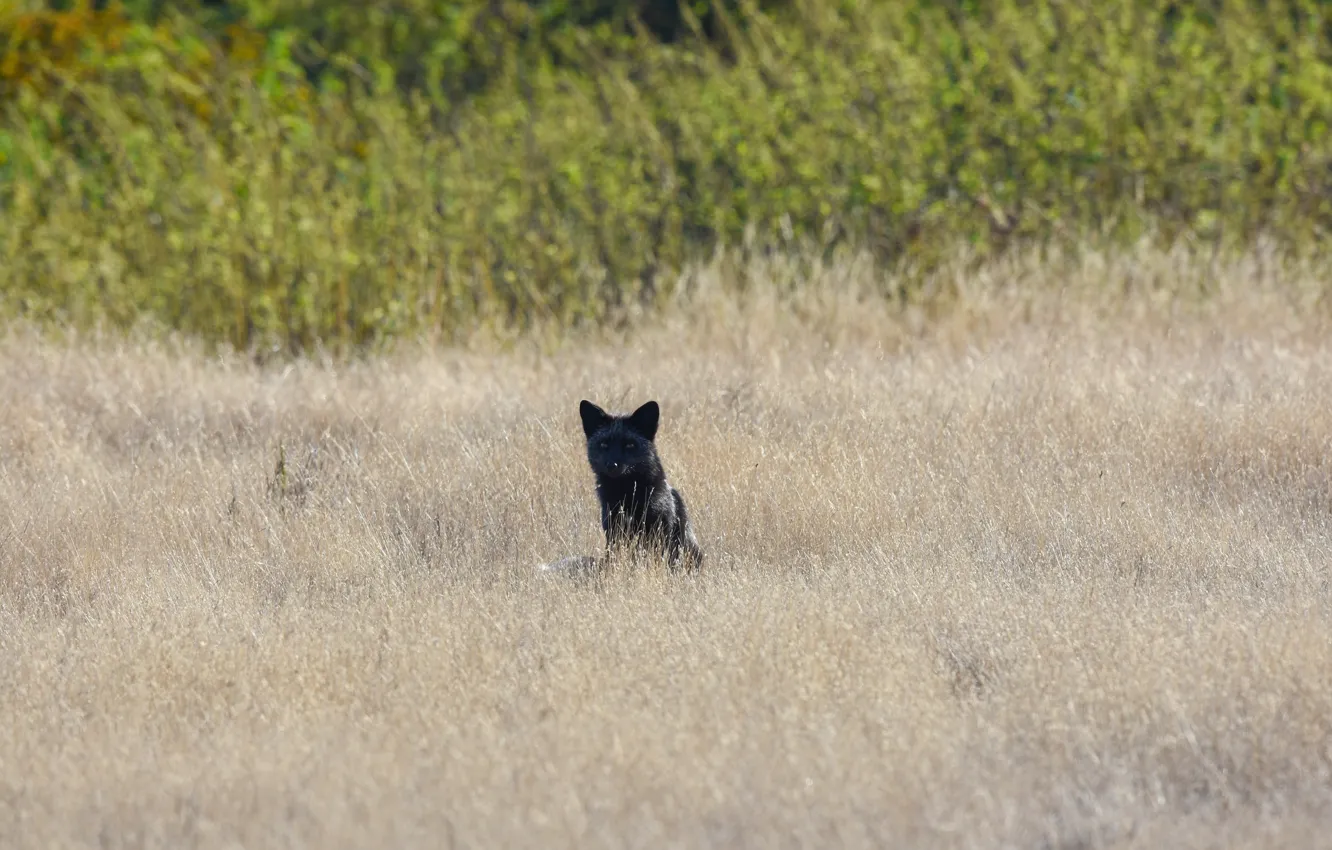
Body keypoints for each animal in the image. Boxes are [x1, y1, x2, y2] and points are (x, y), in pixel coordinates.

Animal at [541, 399, 703, 575]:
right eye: (604, 444)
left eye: (630, 445)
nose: (612, 465)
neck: (626, 493)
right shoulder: (613, 529)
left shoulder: (659, 529)